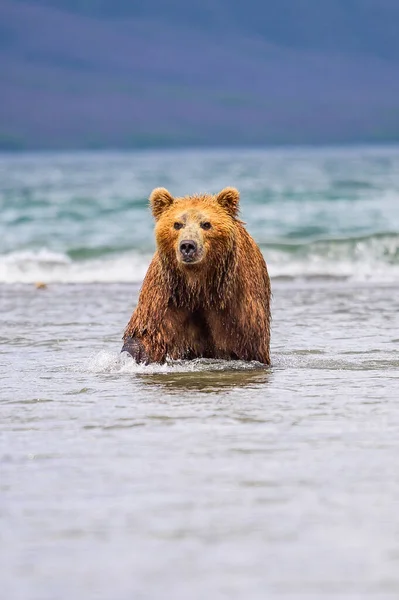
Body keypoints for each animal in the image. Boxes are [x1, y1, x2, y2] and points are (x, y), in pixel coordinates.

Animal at [122, 188, 272, 366]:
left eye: (206, 224)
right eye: (177, 224)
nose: (188, 245)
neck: (198, 284)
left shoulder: (236, 300)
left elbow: (245, 344)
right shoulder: (168, 292)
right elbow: (147, 334)